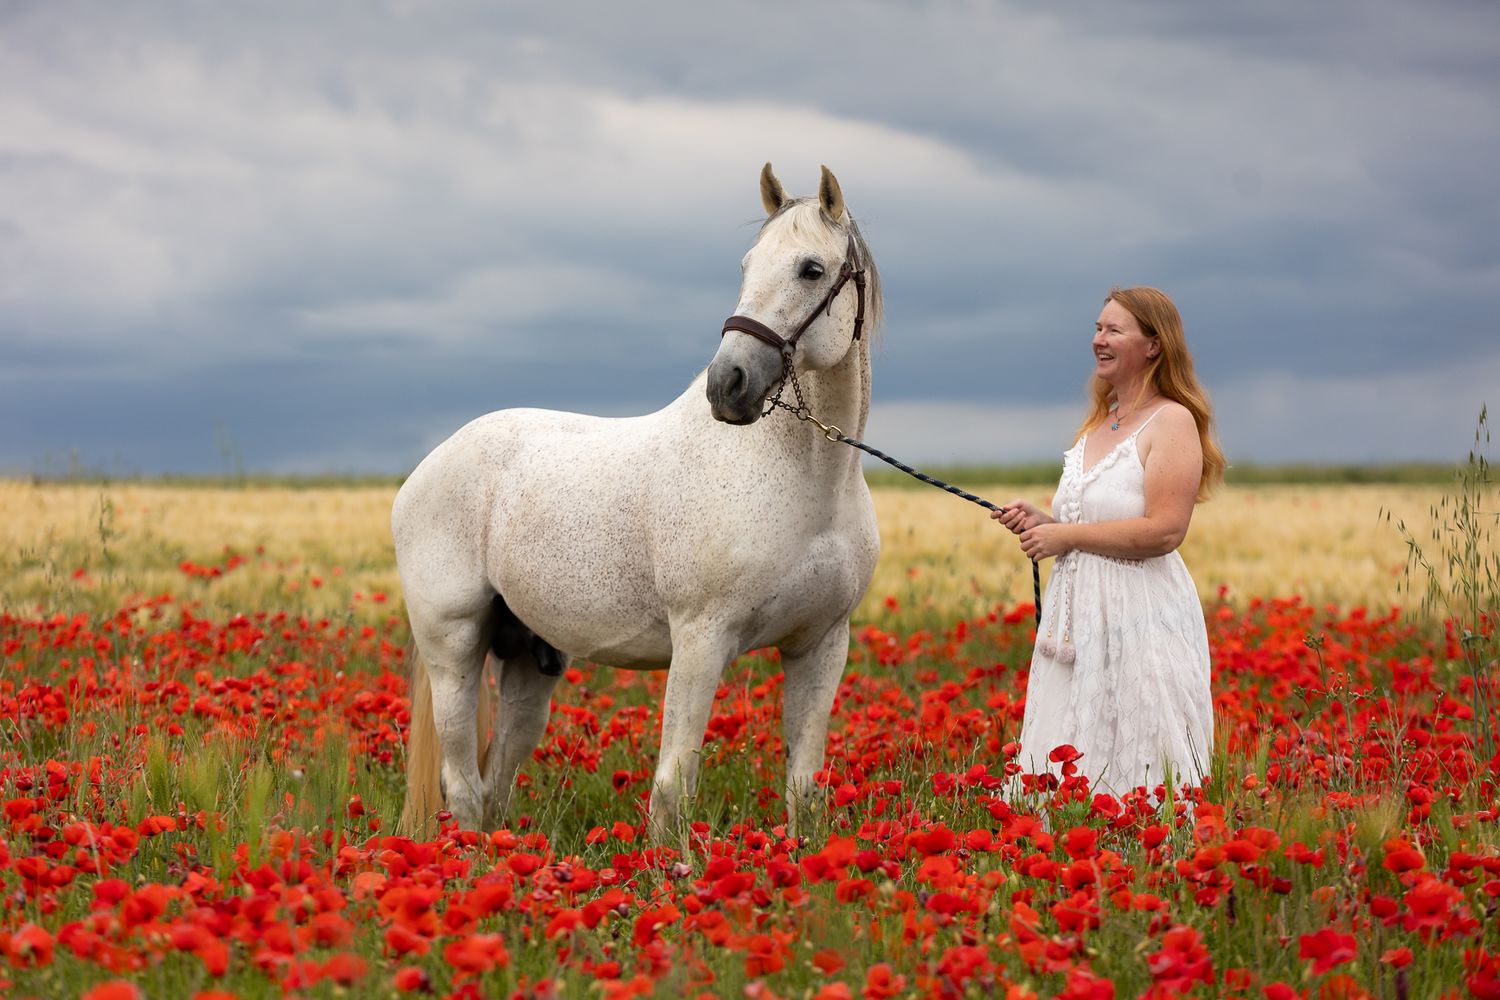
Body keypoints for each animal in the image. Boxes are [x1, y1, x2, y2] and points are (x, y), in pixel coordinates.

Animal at [393, 163, 883, 842]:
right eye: (747, 265)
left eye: (811, 268)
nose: (727, 385)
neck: (808, 484)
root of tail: (429, 466)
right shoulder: (702, 642)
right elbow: (674, 787)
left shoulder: (820, 647)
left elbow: (804, 790)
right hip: (453, 649)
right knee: (463, 786)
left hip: (530, 663)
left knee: (495, 785)